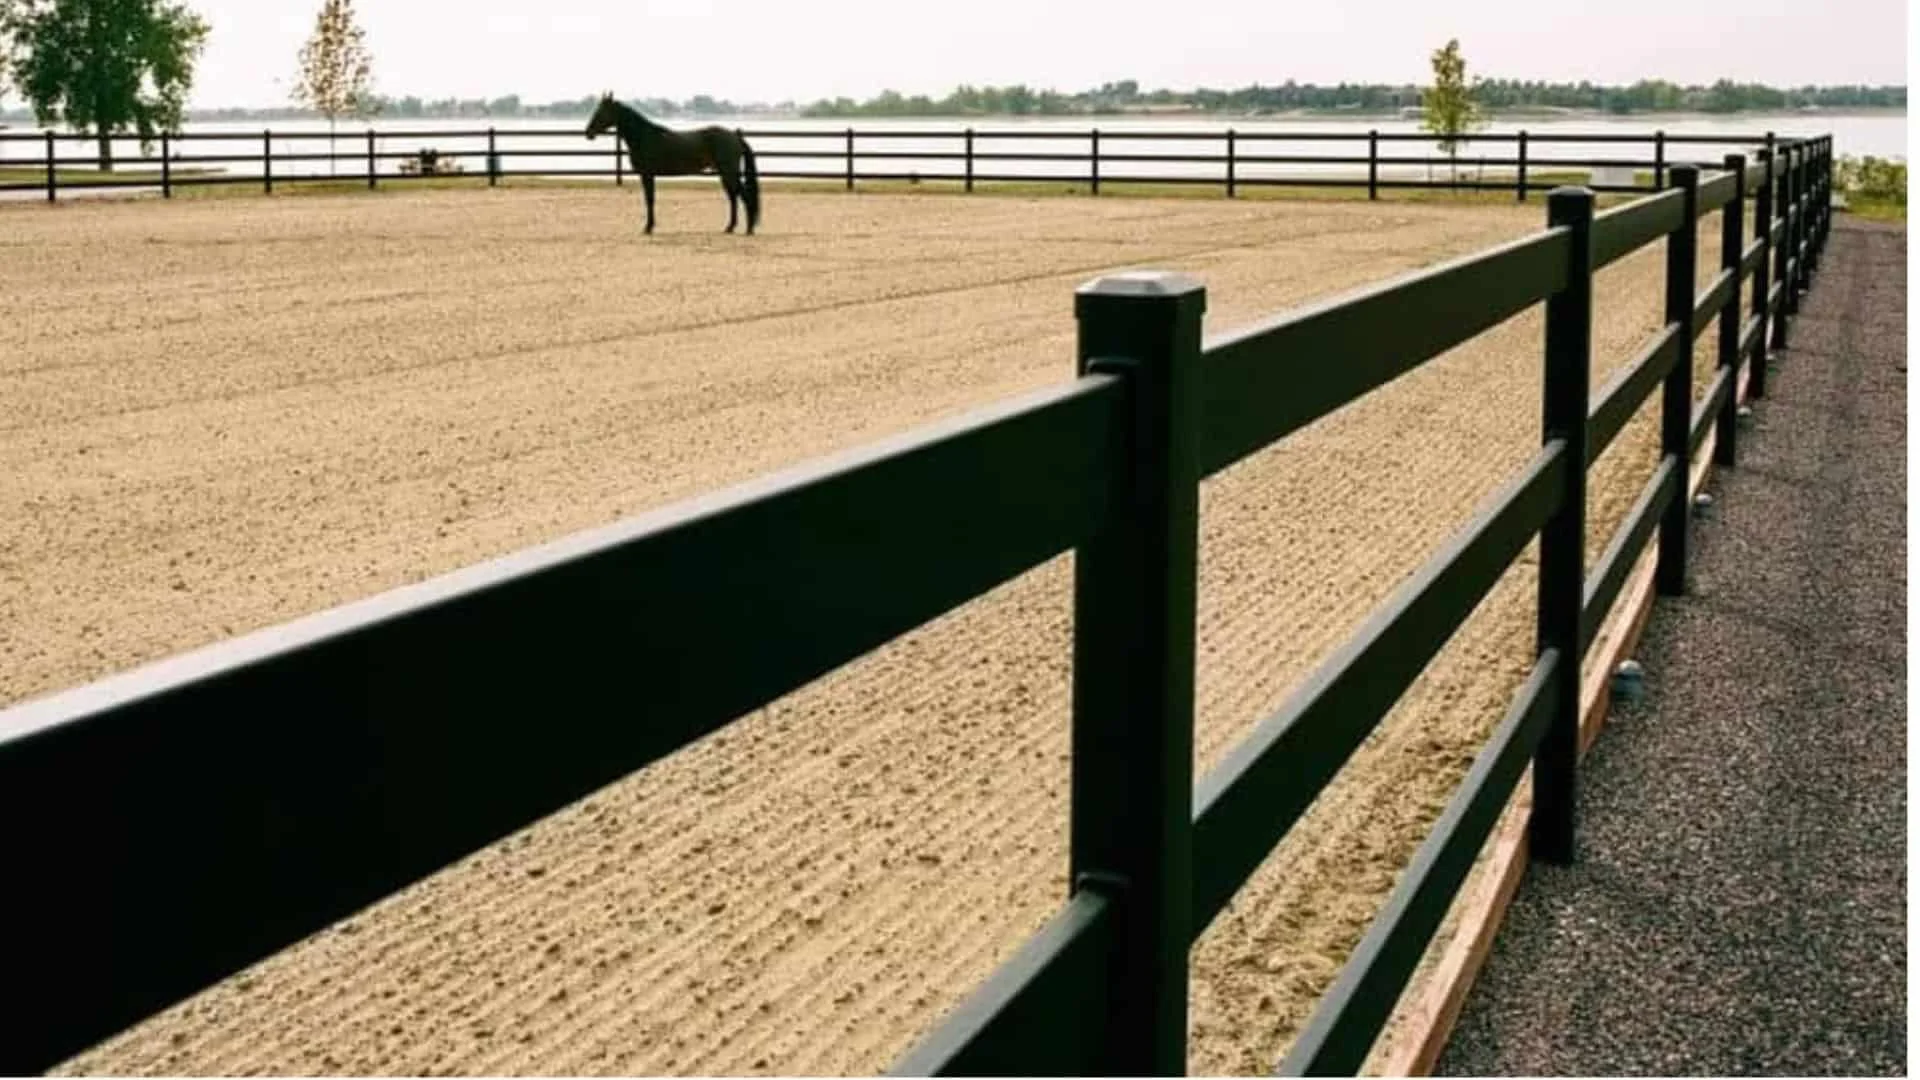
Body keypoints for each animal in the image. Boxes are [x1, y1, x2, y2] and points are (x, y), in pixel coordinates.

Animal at [584, 93, 761, 236]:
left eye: (601, 111)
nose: (588, 133)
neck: (644, 137)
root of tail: (735, 135)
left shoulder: (647, 175)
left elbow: (649, 200)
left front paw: (648, 228)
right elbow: (650, 200)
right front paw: (649, 226)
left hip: (729, 173)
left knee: (743, 196)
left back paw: (749, 229)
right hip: (725, 174)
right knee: (733, 197)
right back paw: (730, 228)